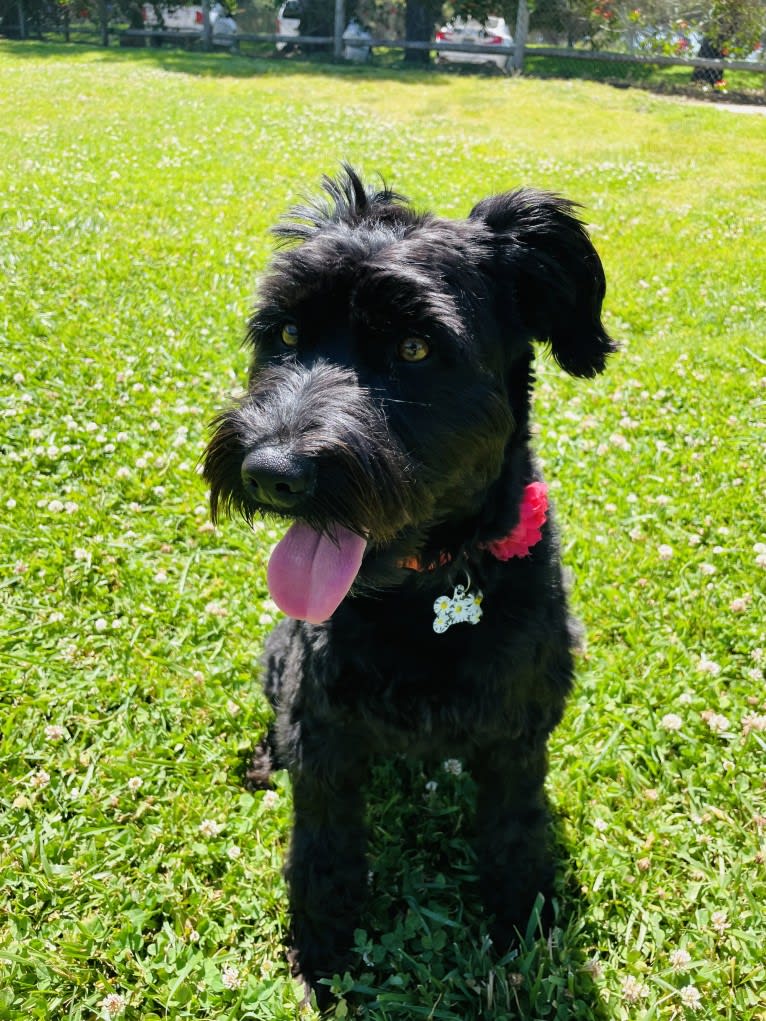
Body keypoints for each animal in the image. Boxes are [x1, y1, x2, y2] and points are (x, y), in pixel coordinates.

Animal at [204, 165, 616, 1004]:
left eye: (416, 346)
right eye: (285, 334)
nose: (271, 471)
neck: (431, 593)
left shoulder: (519, 731)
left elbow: (515, 828)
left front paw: (523, 921)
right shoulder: (322, 726)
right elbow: (323, 848)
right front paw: (323, 949)